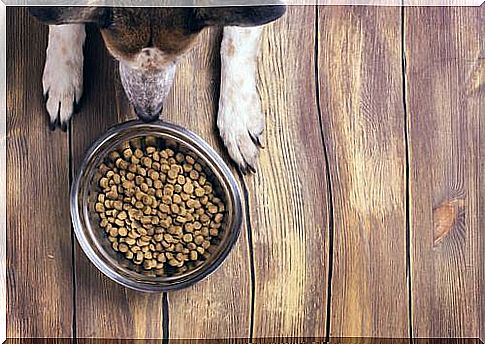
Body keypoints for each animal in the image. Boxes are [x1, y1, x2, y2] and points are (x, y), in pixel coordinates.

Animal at [28, 5, 286, 172]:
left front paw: (237, 119)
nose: (149, 115)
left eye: (178, 59)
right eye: (117, 56)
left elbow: (237, 39)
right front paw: (62, 76)